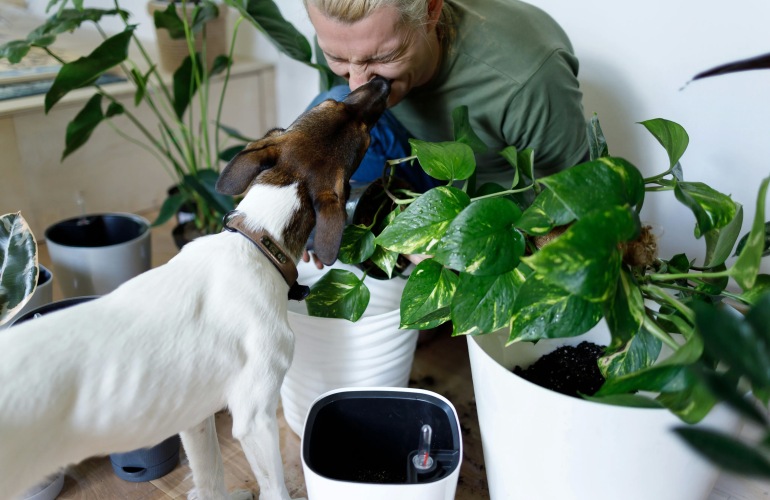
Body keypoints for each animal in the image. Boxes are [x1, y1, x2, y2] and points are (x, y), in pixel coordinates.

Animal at [0, 75, 392, 500]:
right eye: (363, 132)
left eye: (335, 105)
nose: (381, 81)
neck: (257, 241)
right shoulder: (255, 419)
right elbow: (274, 488)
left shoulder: (194, 416)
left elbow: (209, 479)